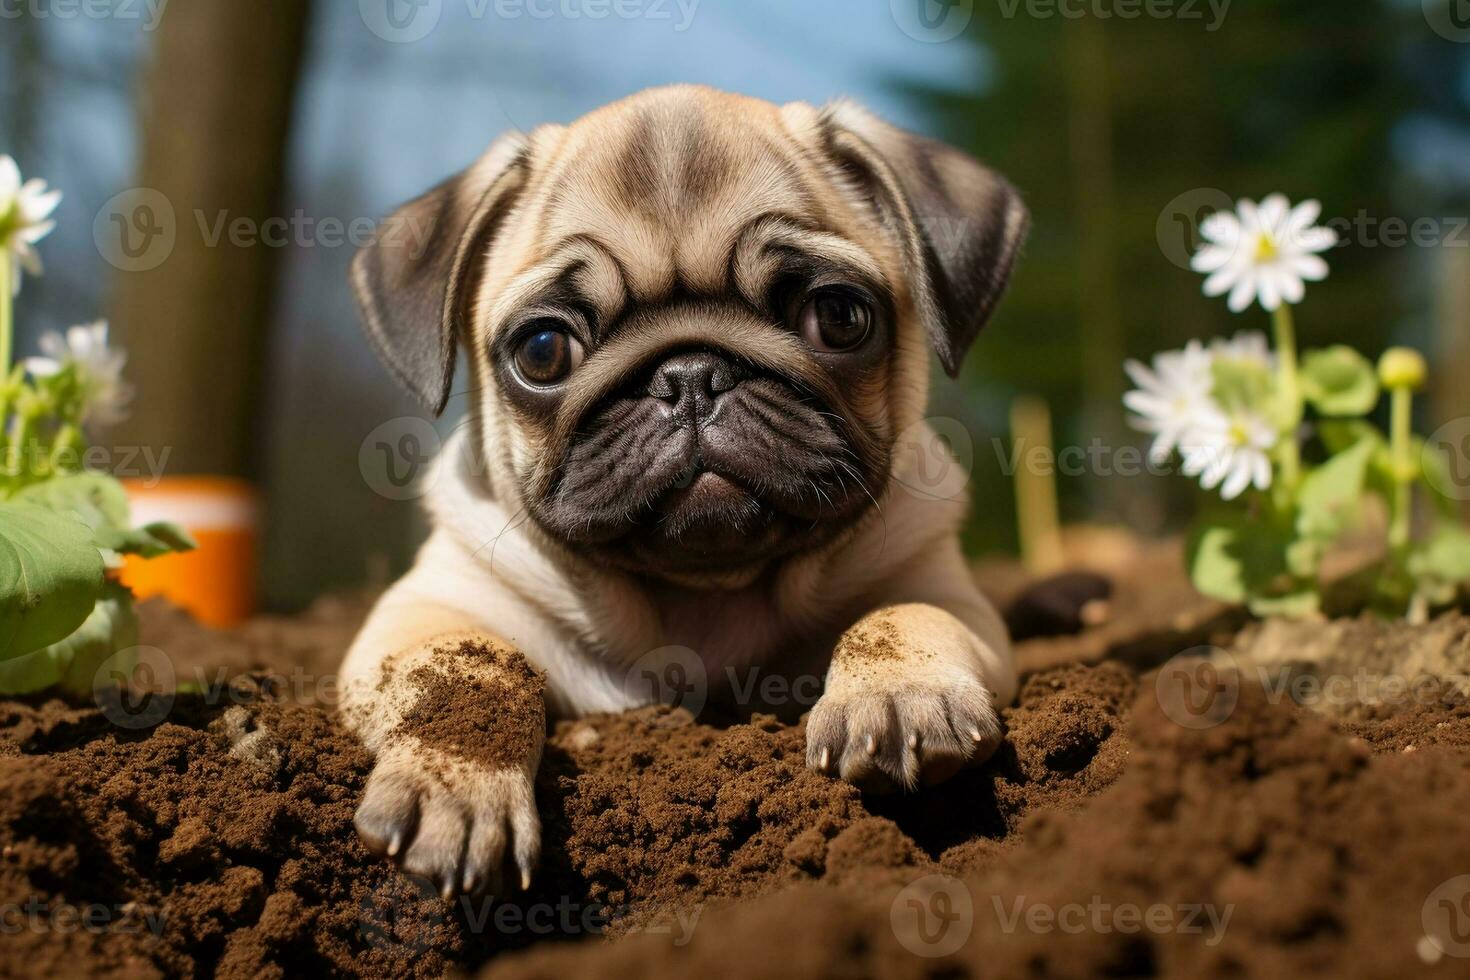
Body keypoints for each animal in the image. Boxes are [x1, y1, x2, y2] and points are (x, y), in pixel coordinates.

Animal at [338, 84, 1029, 899]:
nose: (690, 375)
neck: (702, 595)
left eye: (838, 316)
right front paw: (454, 782)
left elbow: (901, 615)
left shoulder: (943, 591)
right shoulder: (429, 612)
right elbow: (468, 668)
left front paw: (896, 700)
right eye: (542, 351)